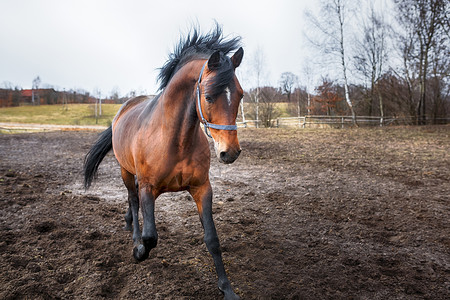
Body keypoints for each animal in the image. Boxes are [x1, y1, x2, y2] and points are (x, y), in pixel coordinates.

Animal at [81, 26, 243, 300]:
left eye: (241, 95)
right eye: (209, 97)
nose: (229, 152)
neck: (175, 140)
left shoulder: (202, 188)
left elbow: (212, 238)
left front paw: (227, 288)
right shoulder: (149, 187)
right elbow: (150, 236)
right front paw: (138, 251)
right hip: (125, 171)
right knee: (133, 200)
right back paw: (133, 235)